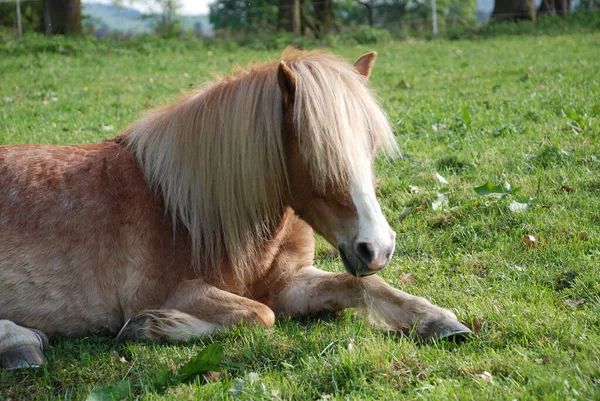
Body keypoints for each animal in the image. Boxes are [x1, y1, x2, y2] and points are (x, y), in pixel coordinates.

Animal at [0, 47, 468, 368]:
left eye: (371, 146)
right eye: (315, 152)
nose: (378, 248)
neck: (182, 209)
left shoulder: (290, 282)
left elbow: (365, 287)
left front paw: (438, 320)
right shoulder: (169, 292)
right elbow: (260, 315)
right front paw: (154, 327)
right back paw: (18, 342)